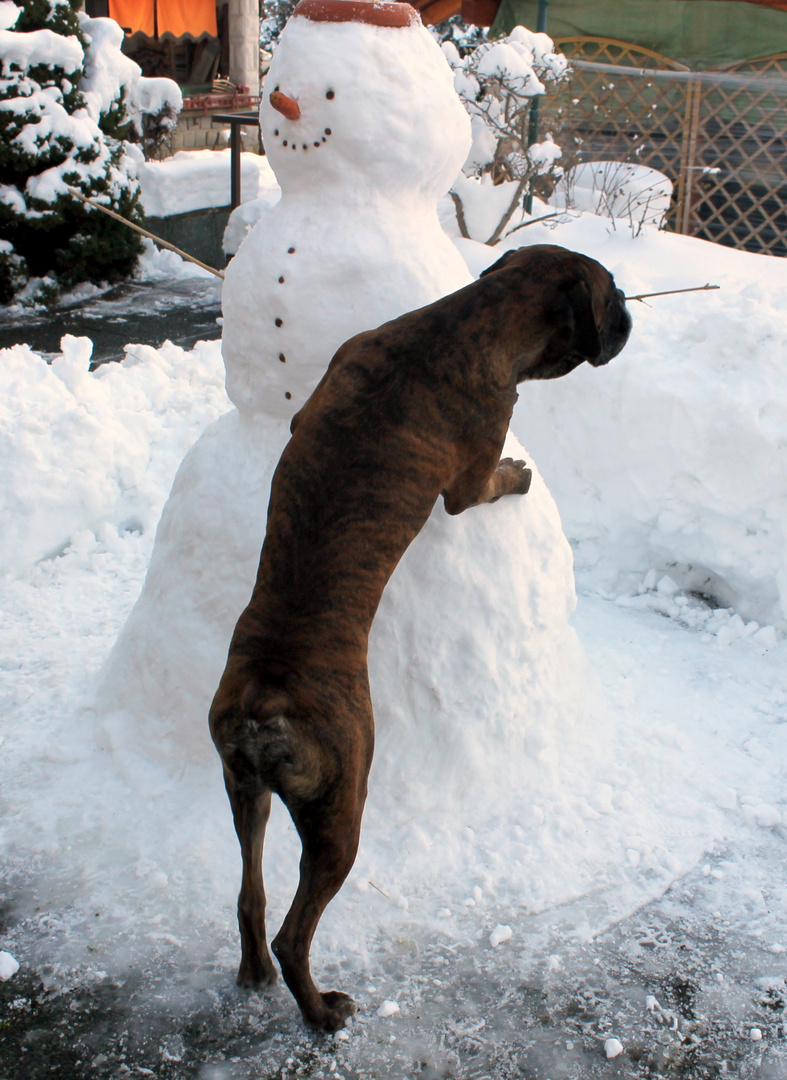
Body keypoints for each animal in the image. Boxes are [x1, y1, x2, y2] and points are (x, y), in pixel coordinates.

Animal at [208, 243, 630, 1028]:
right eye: (611, 293)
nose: (628, 319)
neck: (470, 319)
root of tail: (265, 702)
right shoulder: (470, 470)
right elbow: (486, 486)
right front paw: (518, 474)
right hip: (340, 812)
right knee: (293, 932)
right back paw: (322, 1012)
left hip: (243, 790)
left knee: (250, 896)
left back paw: (252, 974)